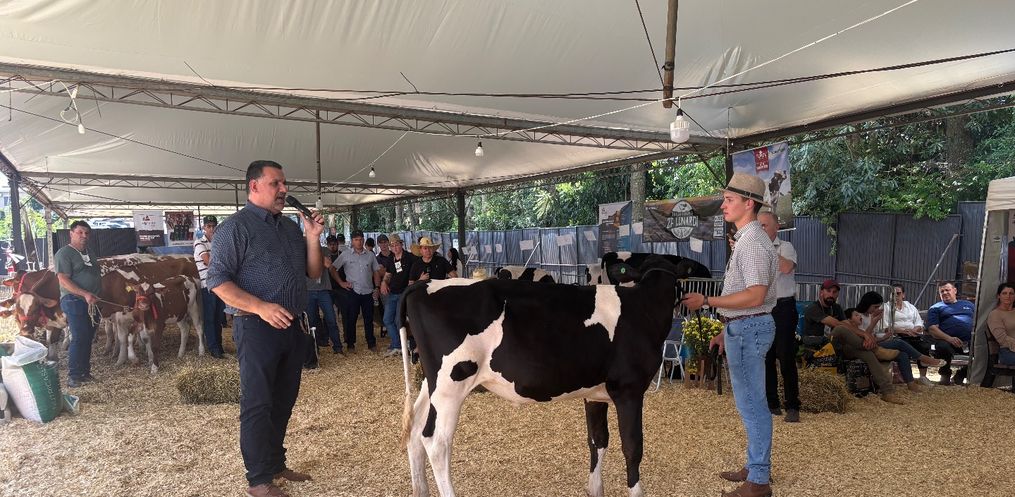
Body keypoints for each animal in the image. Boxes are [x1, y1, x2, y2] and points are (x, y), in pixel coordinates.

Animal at [399, 255, 683, 497]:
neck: (644, 309)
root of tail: (424, 284)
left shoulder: (595, 393)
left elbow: (597, 440)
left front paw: (594, 489)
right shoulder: (629, 390)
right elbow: (633, 447)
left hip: (432, 384)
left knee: (414, 430)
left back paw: (420, 489)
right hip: (451, 385)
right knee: (436, 442)